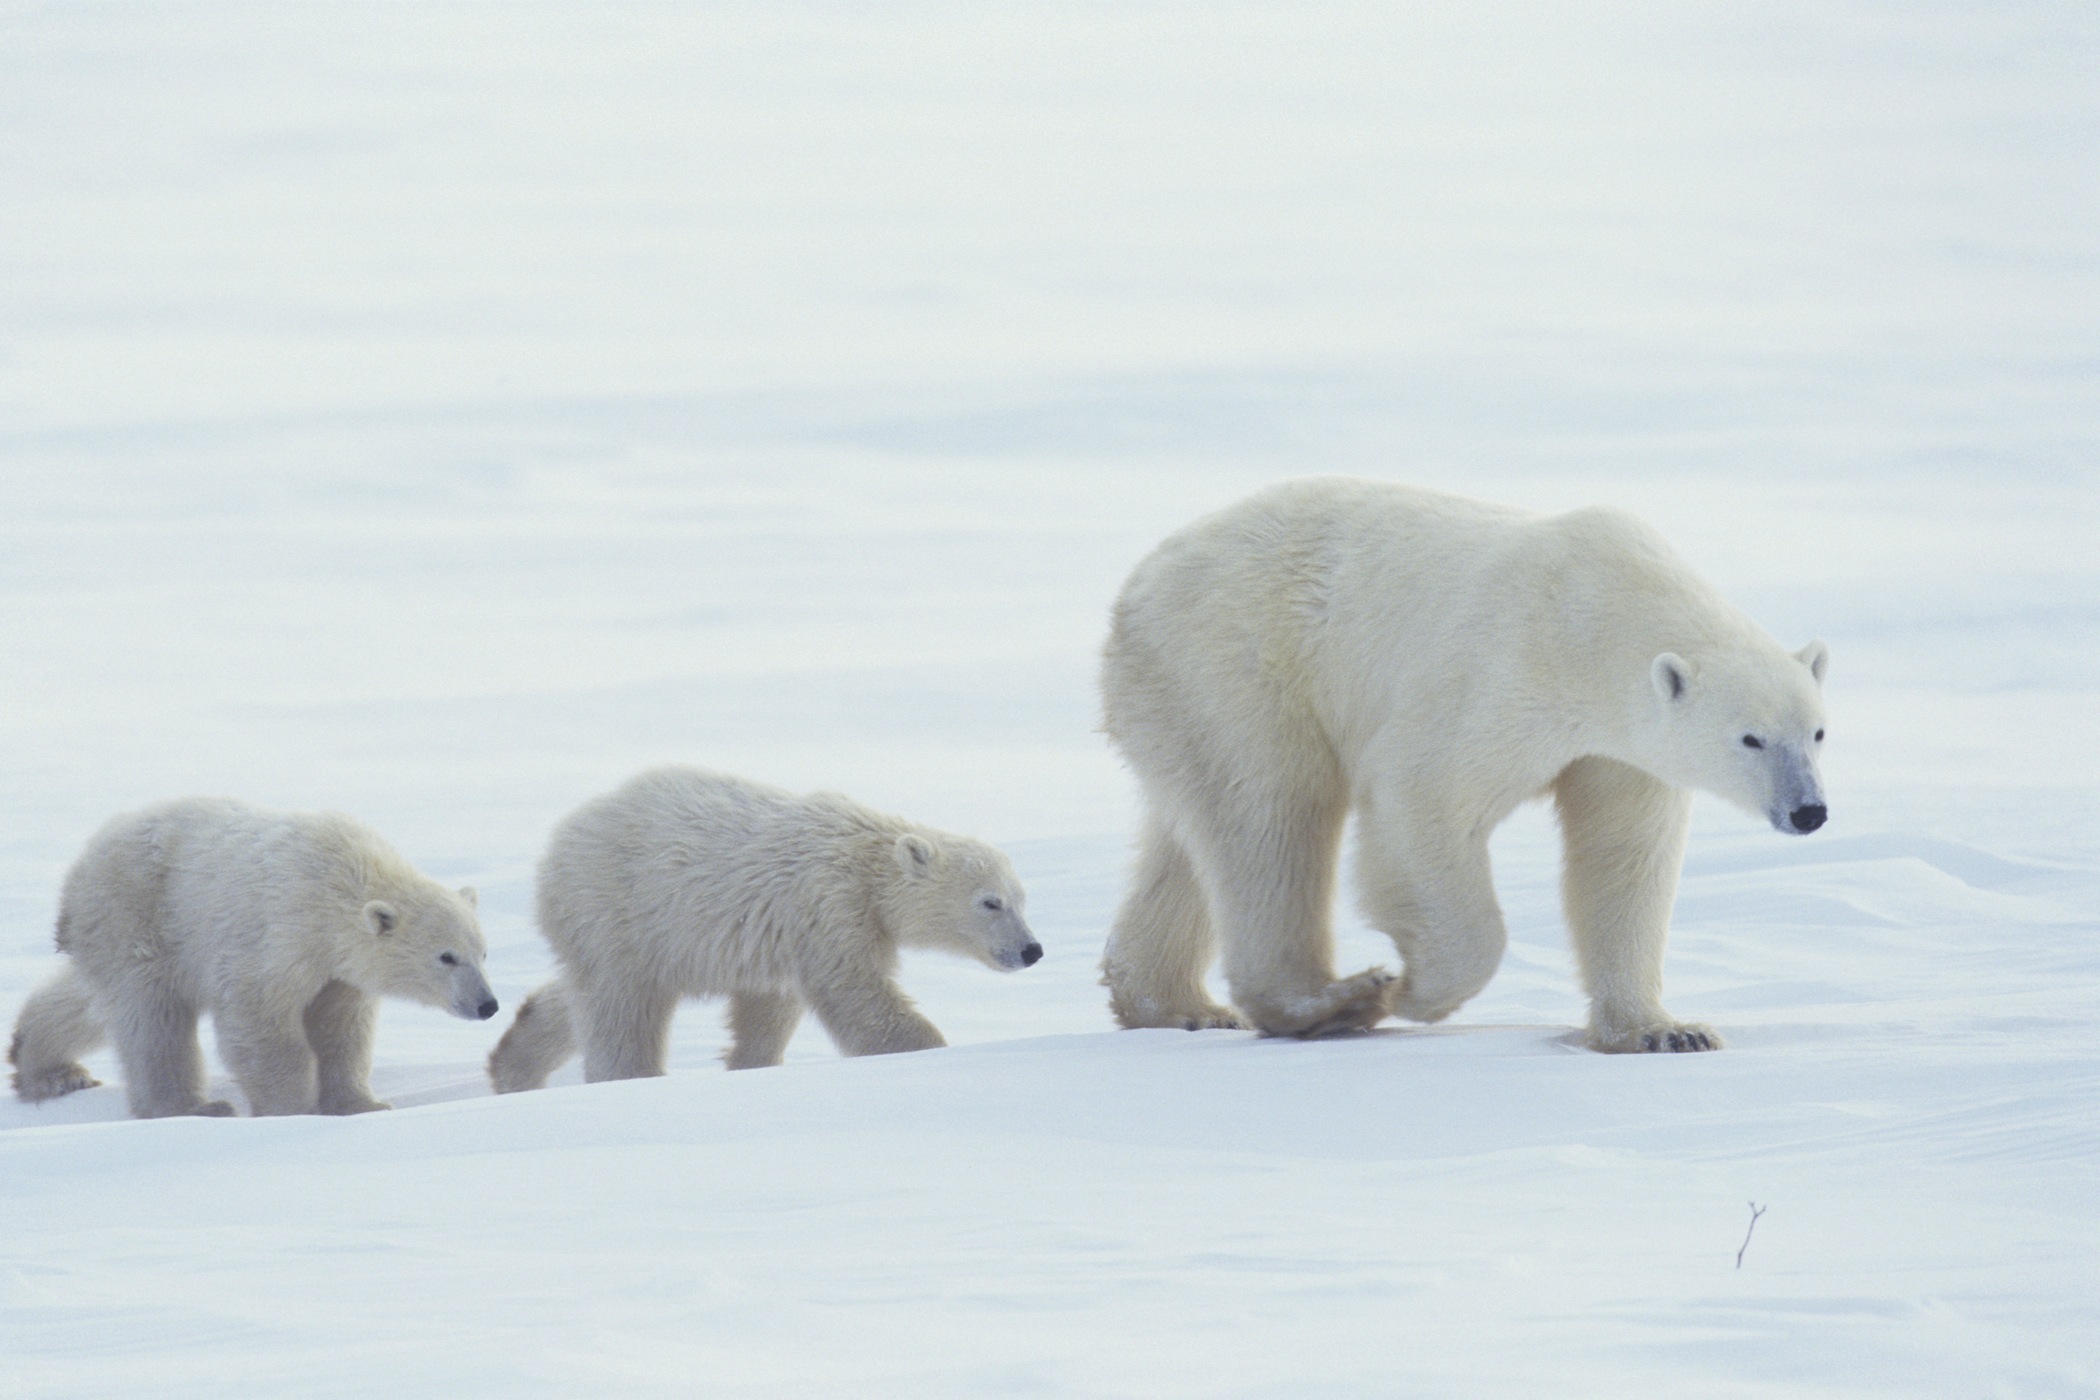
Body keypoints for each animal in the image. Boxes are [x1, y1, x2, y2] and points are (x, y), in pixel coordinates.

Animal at [1100, 482, 1822, 1049]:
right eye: (1751, 739)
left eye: (1818, 732)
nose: (1809, 810)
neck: (1598, 607)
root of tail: (1137, 585)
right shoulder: (1504, 670)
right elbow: (1421, 795)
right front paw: (1414, 990)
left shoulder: (1622, 752)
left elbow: (1624, 856)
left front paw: (1665, 1031)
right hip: (1240, 663)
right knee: (1272, 817)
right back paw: (1334, 1000)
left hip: (1184, 699)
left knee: (1191, 840)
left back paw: (1178, 1005)